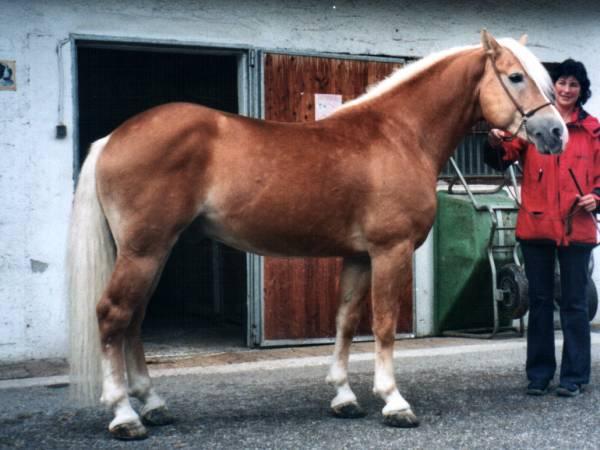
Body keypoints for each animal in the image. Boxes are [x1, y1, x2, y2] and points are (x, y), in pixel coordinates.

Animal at [67, 31, 568, 440]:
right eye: (516, 77)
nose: (556, 133)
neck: (399, 135)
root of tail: (113, 138)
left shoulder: (359, 257)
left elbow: (345, 321)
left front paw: (344, 397)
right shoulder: (390, 251)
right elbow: (384, 325)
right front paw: (393, 402)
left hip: (152, 251)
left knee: (134, 320)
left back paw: (152, 405)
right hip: (144, 250)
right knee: (114, 315)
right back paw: (124, 415)